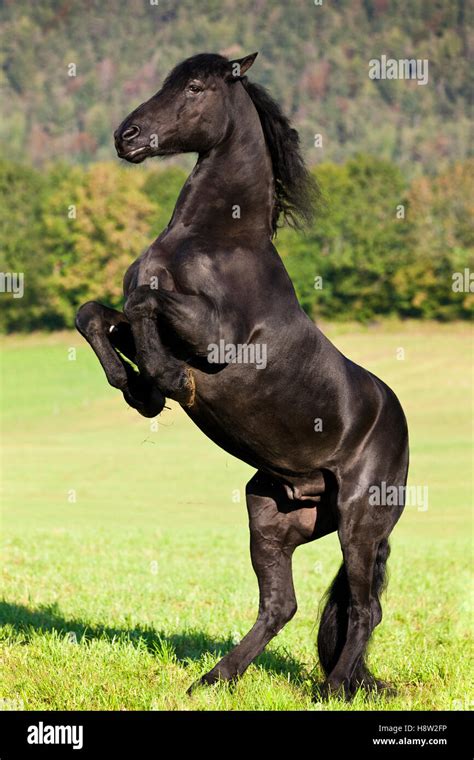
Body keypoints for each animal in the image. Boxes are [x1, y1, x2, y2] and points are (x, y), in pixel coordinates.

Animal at [76, 50, 410, 696]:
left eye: (195, 87)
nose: (126, 136)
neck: (213, 240)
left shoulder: (216, 338)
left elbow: (144, 304)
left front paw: (164, 383)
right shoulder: (139, 314)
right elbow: (97, 314)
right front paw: (137, 390)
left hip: (360, 520)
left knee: (363, 607)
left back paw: (332, 689)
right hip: (273, 513)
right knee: (281, 605)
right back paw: (214, 679)